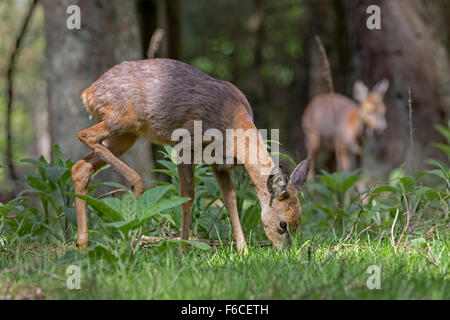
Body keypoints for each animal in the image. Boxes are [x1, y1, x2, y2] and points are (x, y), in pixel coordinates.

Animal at [72, 57, 310, 252]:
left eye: (298, 221)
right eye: (283, 224)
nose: (286, 251)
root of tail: (87, 93)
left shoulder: (219, 163)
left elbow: (230, 200)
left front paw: (243, 251)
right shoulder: (184, 145)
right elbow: (188, 197)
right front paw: (183, 250)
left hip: (127, 135)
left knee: (80, 167)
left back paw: (82, 244)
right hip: (123, 118)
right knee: (85, 135)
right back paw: (136, 185)